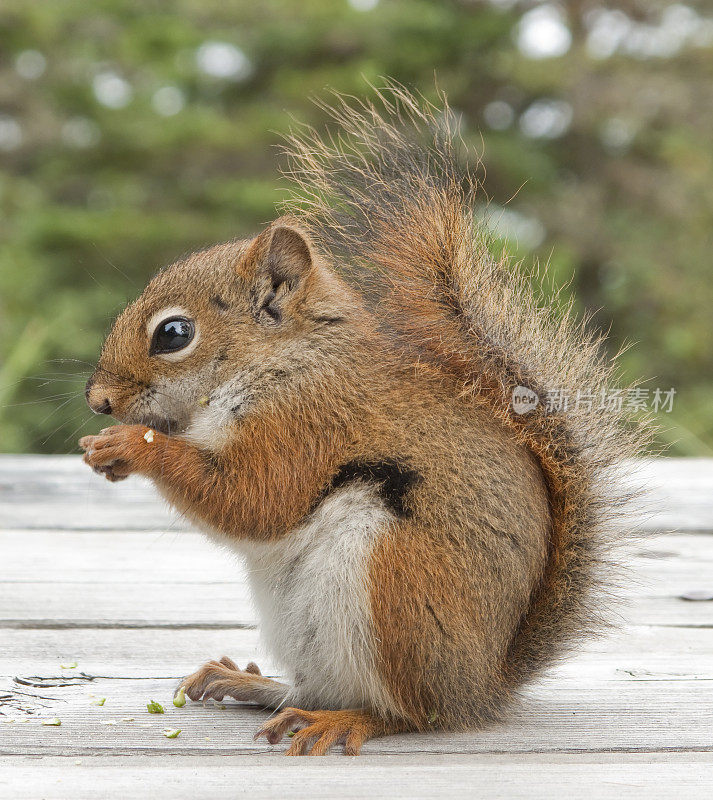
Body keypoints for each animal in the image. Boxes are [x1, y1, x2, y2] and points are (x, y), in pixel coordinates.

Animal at [80, 87, 648, 756]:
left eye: (173, 334)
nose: (98, 401)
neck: (286, 358)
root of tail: (481, 685)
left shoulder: (308, 420)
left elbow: (255, 500)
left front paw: (132, 445)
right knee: (321, 686)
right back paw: (251, 683)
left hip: (393, 587)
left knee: (411, 713)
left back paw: (346, 721)